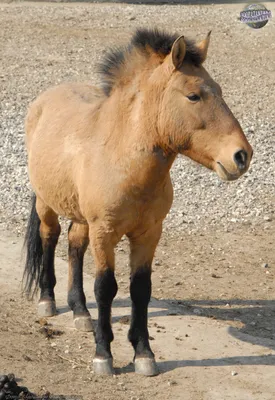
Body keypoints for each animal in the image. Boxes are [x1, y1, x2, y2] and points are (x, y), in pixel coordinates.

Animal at [23, 28, 254, 376]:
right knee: (49, 239)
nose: (242, 155)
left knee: (75, 246)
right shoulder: (105, 233)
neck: (122, 158)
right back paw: (48, 300)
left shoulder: (148, 234)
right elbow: (106, 288)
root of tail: (44, 99)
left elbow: (140, 289)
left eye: (220, 90)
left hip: (81, 217)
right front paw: (103, 355)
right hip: (47, 204)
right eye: (194, 96)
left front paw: (144, 354)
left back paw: (80, 312)